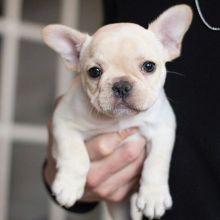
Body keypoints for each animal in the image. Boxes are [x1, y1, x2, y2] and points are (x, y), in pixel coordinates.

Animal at [42, 5, 192, 220]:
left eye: (149, 66)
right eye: (94, 72)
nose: (121, 85)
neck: (121, 119)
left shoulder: (162, 129)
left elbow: (156, 163)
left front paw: (153, 196)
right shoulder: (64, 122)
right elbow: (74, 154)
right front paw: (68, 185)